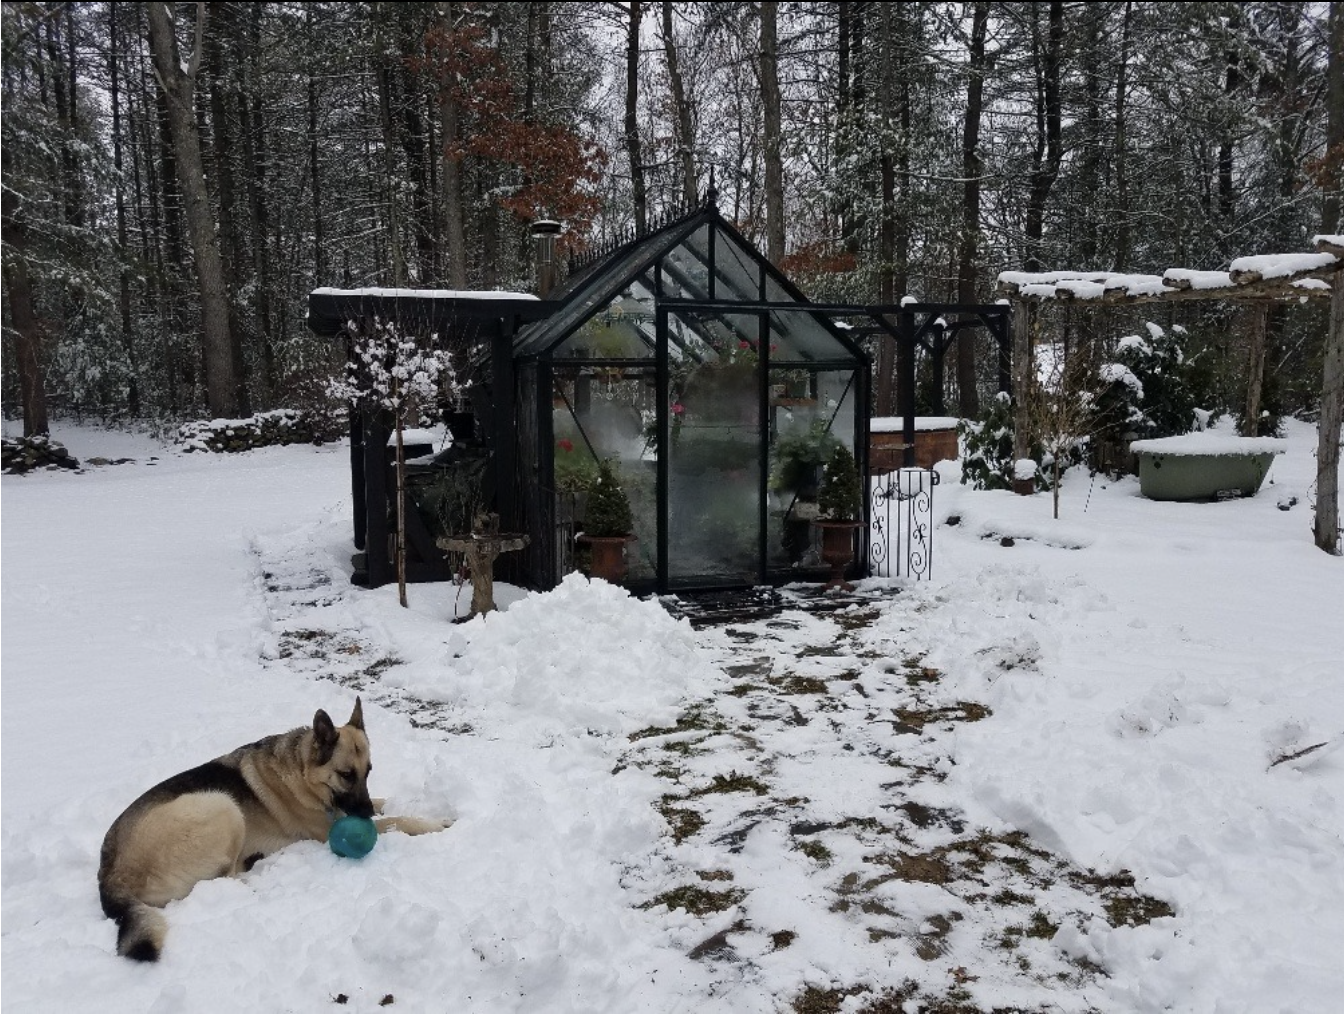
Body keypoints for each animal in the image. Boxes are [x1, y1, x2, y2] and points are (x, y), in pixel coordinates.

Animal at [100, 699, 446, 957]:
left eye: (368, 771)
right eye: (346, 774)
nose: (363, 814)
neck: (303, 770)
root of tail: (110, 876)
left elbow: (385, 802)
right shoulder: (327, 829)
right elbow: (395, 820)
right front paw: (435, 821)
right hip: (221, 805)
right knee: (225, 878)